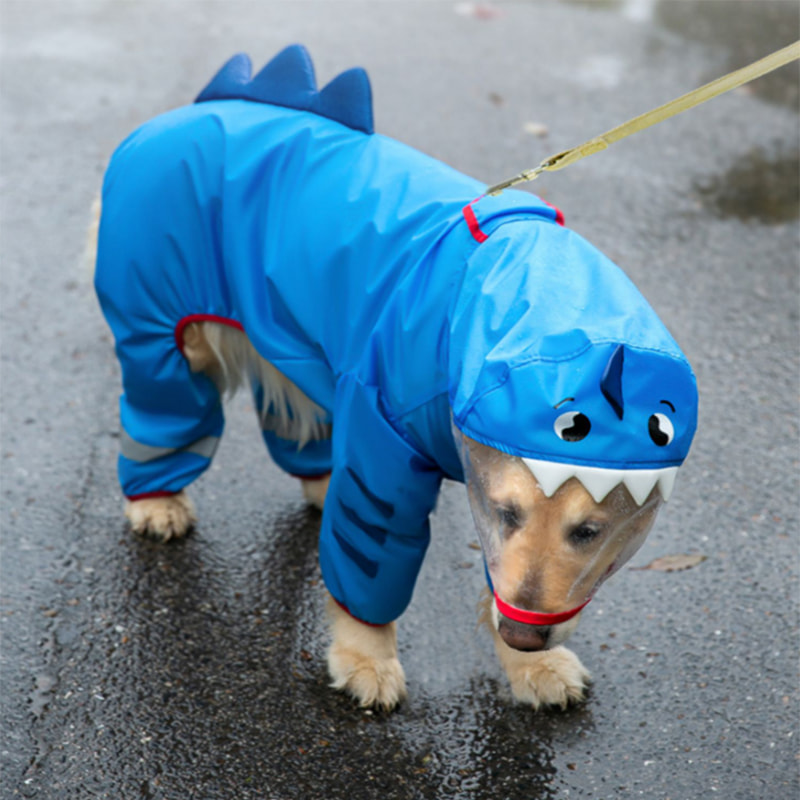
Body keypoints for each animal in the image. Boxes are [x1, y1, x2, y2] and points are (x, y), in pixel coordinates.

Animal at [92, 48, 692, 712]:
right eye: (508, 513)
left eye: (589, 531)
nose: (523, 635)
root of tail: (186, 113)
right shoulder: (386, 443)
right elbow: (371, 553)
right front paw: (366, 659)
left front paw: (531, 666)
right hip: (162, 327)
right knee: (165, 407)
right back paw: (158, 499)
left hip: (289, 331)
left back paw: (319, 481)